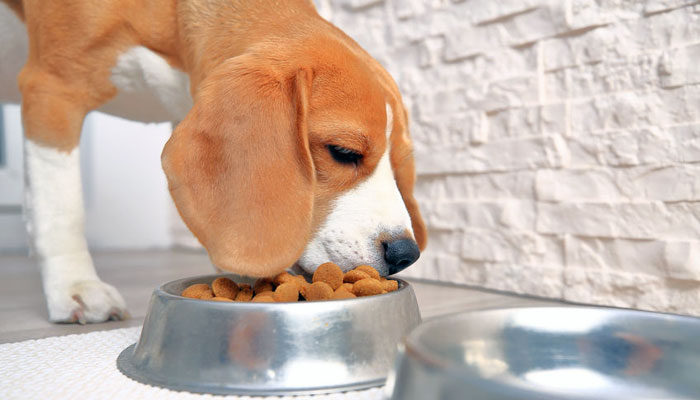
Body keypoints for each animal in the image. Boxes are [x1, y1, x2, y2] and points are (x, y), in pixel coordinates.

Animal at [0, 0, 426, 324]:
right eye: (343, 152)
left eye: (400, 165)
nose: (406, 254)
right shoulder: (53, 89)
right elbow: (60, 208)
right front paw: (75, 286)